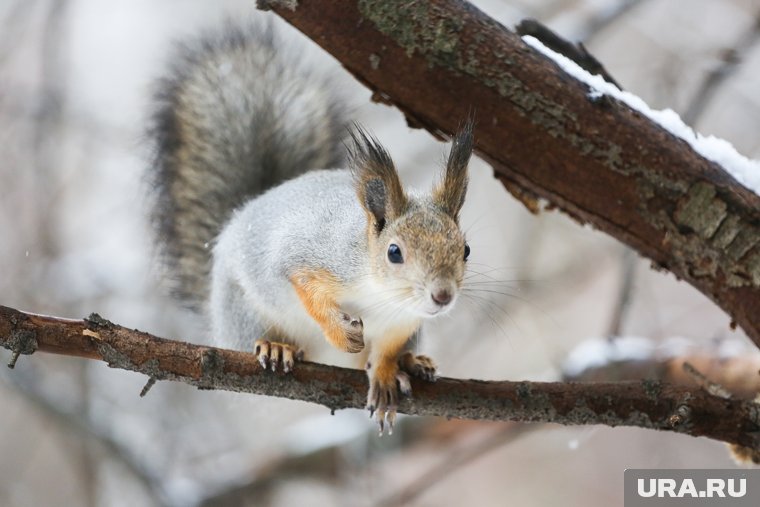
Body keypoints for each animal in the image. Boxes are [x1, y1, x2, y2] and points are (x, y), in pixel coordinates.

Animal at [148, 23, 472, 434]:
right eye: (394, 252)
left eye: (465, 249)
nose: (442, 295)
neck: (381, 292)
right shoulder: (311, 253)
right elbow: (302, 284)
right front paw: (339, 332)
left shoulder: (404, 323)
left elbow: (385, 350)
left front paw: (385, 372)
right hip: (243, 312)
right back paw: (275, 346)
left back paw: (412, 362)